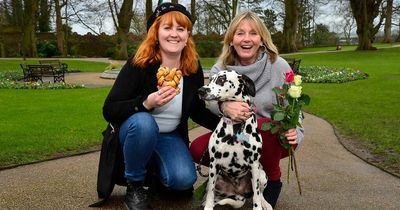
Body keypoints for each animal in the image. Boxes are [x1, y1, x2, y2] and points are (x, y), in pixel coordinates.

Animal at [197, 70, 272, 210]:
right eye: (210, 79)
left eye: (221, 79)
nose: (200, 91)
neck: (236, 127)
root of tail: (238, 194)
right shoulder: (214, 164)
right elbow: (210, 193)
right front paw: (208, 206)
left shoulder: (254, 165)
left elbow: (257, 194)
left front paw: (258, 206)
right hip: (214, 179)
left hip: (262, 174)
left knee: (260, 193)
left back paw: (265, 203)